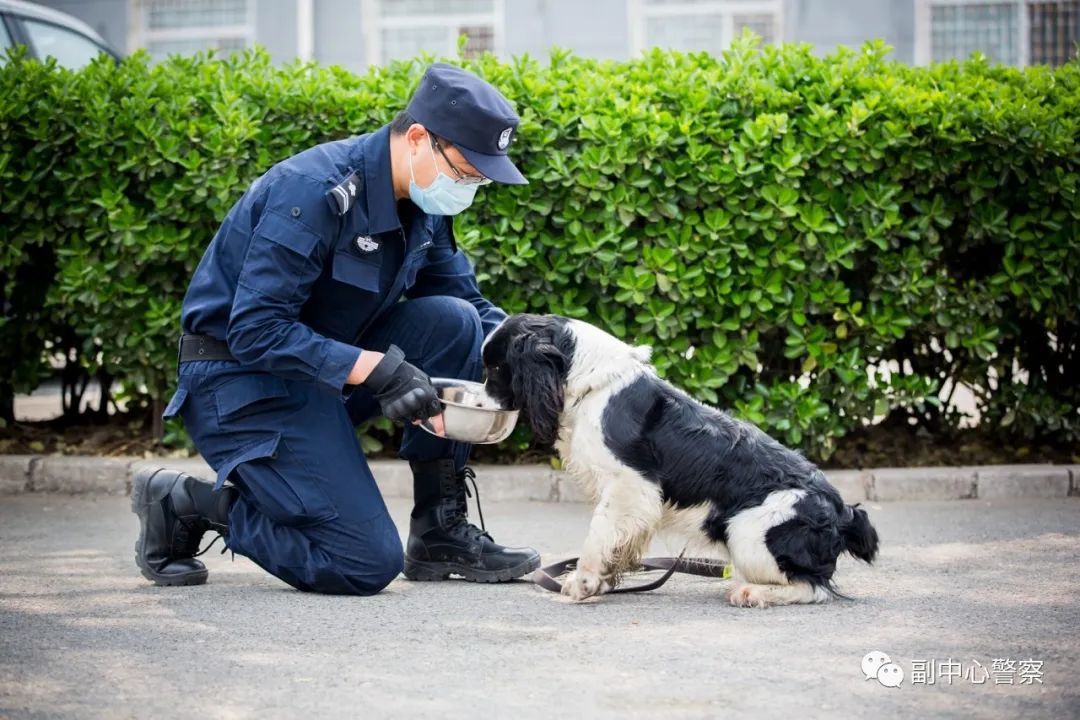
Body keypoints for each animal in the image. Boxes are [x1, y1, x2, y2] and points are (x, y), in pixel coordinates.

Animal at [486, 315, 881, 608]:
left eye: (496, 368)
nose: (482, 398)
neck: (594, 382)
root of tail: (843, 512)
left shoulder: (630, 482)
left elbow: (598, 532)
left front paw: (583, 582)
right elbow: (621, 539)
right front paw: (606, 580)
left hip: (747, 529)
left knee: (813, 587)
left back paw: (752, 593)